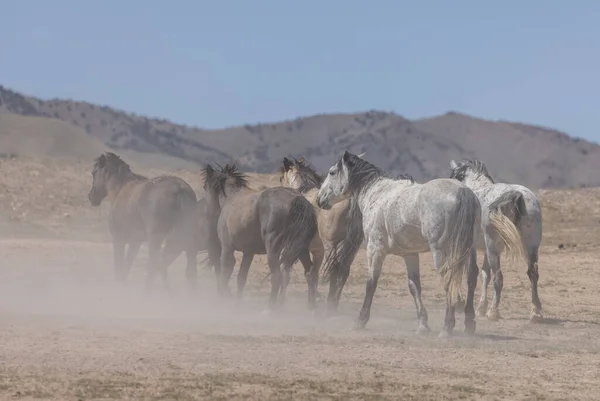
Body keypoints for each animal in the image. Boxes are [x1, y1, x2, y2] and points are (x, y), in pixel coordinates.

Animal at [87, 152, 199, 290]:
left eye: (94, 172)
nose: (91, 197)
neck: (119, 189)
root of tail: (179, 189)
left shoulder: (119, 238)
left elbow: (119, 268)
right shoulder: (135, 242)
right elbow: (125, 268)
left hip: (156, 238)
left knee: (153, 267)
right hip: (186, 238)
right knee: (189, 271)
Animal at [202, 162, 318, 312]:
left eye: (205, 187)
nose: (207, 213)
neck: (232, 198)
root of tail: (298, 200)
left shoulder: (227, 248)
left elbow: (224, 274)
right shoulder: (248, 252)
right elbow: (241, 278)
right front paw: (238, 305)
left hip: (273, 249)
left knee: (277, 276)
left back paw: (271, 309)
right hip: (302, 249)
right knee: (310, 274)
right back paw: (312, 309)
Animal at [316, 150, 480, 334]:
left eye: (332, 172)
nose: (319, 199)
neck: (376, 193)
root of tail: (463, 192)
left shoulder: (375, 250)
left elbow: (371, 283)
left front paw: (360, 320)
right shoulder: (410, 254)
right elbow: (414, 286)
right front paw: (422, 324)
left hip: (441, 251)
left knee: (449, 279)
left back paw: (447, 327)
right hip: (468, 249)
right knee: (471, 276)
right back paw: (469, 323)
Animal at [450, 159, 544, 322]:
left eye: (454, 176)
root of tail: (517, 195)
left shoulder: (473, 248)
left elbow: (472, 273)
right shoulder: (485, 249)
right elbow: (484, 275)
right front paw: (481, 307)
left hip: (494, 248)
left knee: (499, 277)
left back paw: (493, 311)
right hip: (530, 247)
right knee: (533, 274)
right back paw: (535, 311)